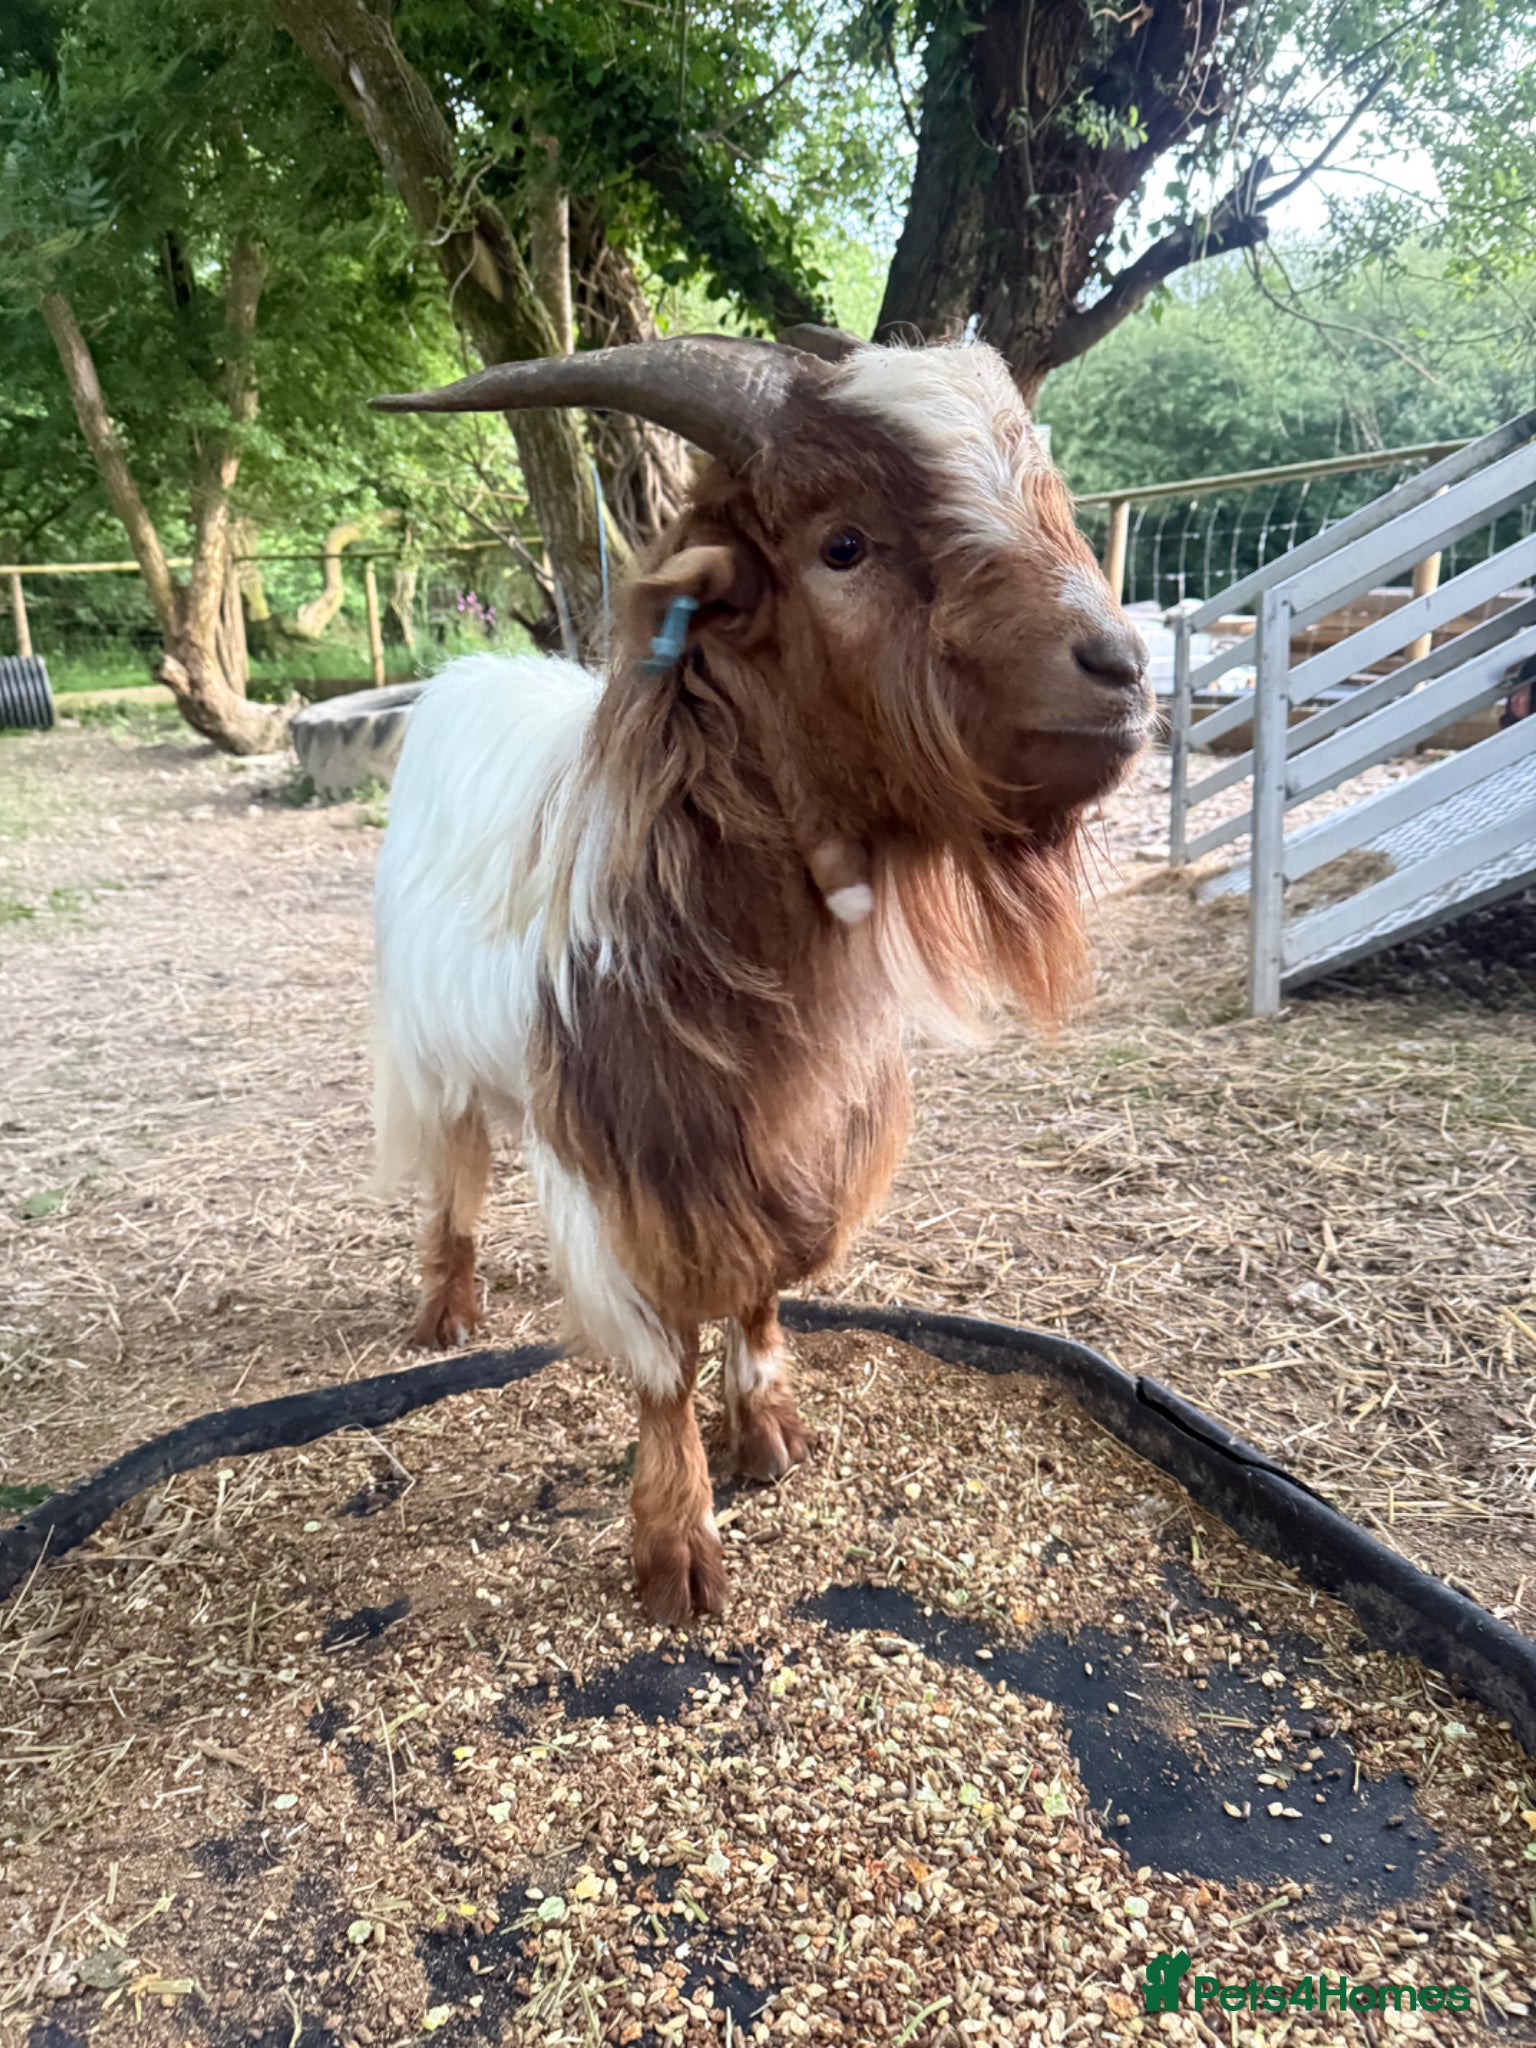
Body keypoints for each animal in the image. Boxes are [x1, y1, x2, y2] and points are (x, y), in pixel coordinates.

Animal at [370, 329, 1151, 1624]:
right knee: (454, 1168)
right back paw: (446, 1307)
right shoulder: (620, 1156)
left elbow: (764, 1283)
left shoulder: (799, 1140)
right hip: (429, 1048)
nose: (1124, 665)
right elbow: (657, 1360)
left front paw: (772, 1428)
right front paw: (677, 1545)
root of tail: (466, 677)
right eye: (843, 544)